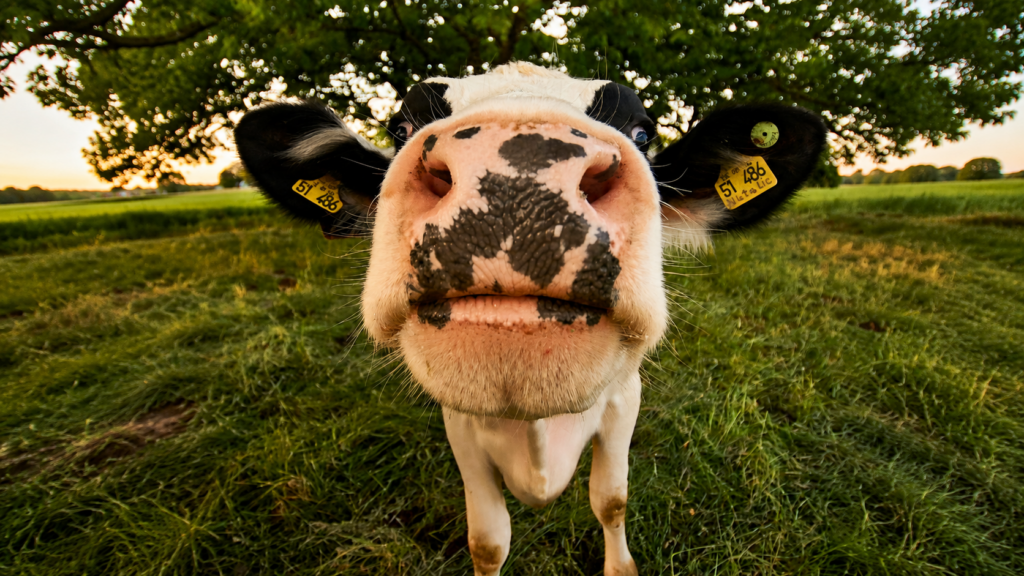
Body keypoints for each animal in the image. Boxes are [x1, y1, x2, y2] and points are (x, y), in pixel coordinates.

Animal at [235, 62, 825, 575]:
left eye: (641, 129)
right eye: (400, 127)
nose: (513, 175)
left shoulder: (624, 398)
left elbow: (611, 500)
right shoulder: (459, 423)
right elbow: (487, 540)